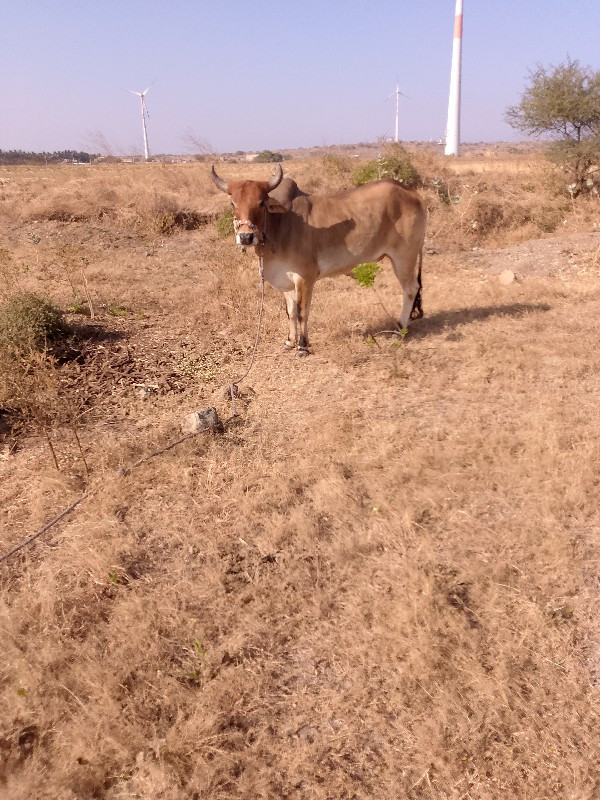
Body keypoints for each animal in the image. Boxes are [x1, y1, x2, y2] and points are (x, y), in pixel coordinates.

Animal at [211, 162, 426, 356]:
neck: (279, 226)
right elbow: (290, 311)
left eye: (261, 203)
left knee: (410, 289)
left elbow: (302, 312)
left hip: (403, 256)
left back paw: (400, 328)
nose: (246, 237)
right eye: (233, 203)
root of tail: (413, 194)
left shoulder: (305, 277)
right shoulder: (287, 280)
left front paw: (302, 346)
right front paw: (290, 341)